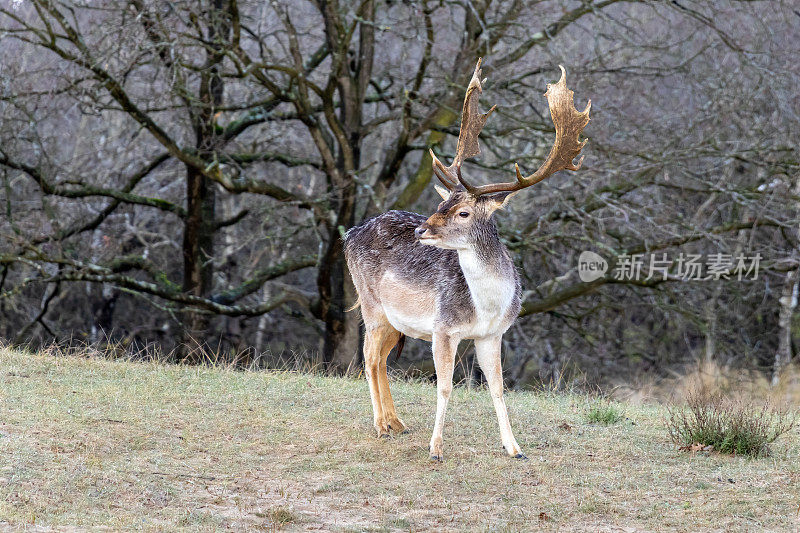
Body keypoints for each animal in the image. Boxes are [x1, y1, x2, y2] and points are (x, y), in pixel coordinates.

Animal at [340, 58, 592, 462]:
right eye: (442, 203)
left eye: (462, 212)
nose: (421, 230)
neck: (485, 307)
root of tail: (349, 235)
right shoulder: (443, 328)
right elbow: (444, 387)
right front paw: (435, 449)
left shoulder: (493, 335)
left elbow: (498, 388)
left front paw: (514, 448)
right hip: (371, 303)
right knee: (368, 357)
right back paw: (381, 425)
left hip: (395, 319)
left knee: (380, 359)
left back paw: (396, 423)